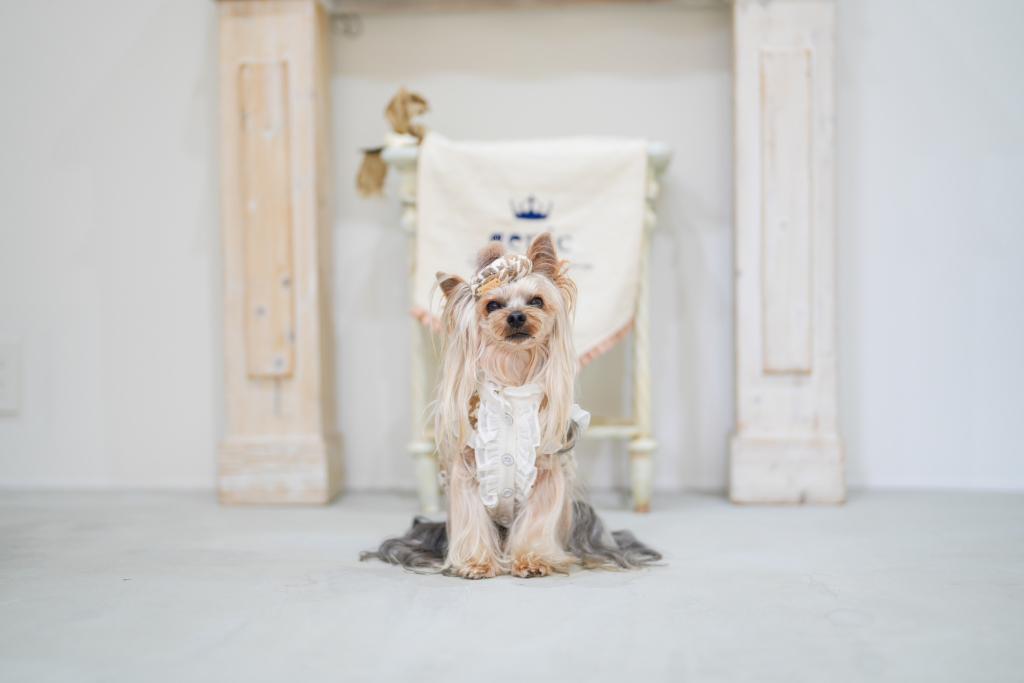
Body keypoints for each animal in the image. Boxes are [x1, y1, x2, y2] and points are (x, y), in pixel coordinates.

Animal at [363, 233, 660, 578]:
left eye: (537, 301)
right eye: (492, 305)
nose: (516, 316)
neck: (514, 378)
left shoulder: (547, 473)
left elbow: (537, 521)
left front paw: (533, 561)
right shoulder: (467, 474)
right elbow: (471, 520)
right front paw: (476, 564)